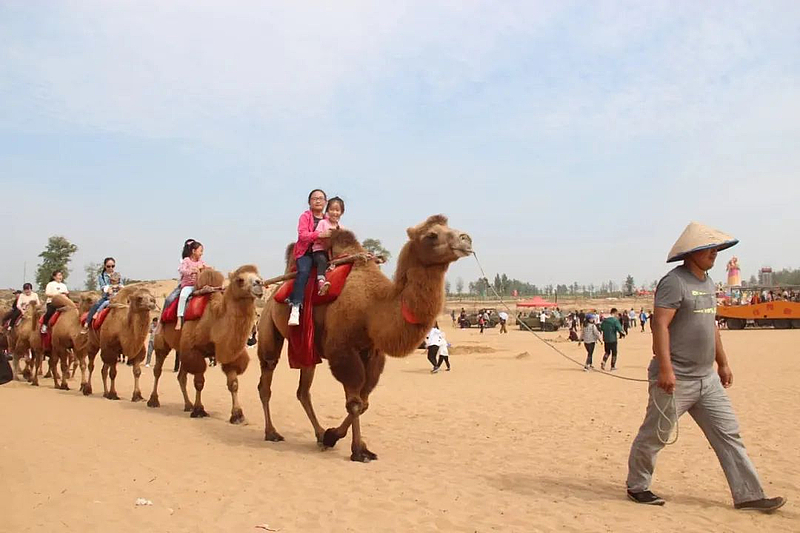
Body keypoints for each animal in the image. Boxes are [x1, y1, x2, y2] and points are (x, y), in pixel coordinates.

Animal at [147, 264, 262, 422]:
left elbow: (233, 383)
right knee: (157, 370)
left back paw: (188, 405)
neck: (213, 320)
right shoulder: (195, 350)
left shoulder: (227, 351)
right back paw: (153, 401)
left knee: (181, 377)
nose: (260, 284)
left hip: (183, 350)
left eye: (259, 276)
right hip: (161, 343)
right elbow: (199, 382)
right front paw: (199, 410)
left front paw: (237, 415)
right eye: (240, 279)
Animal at [256, 214, 472, 460]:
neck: (372, 307)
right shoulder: (343, 350)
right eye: (431, 235)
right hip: (268, 326)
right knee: (266, 378)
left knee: (303, 391)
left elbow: (365, 401)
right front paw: (354, 449)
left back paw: (319, 434)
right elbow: (355, 403)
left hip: (306, 347)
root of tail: (272, 293)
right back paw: (272, 432)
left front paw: (335, 437)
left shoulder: (373, 352)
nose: (466, 239)